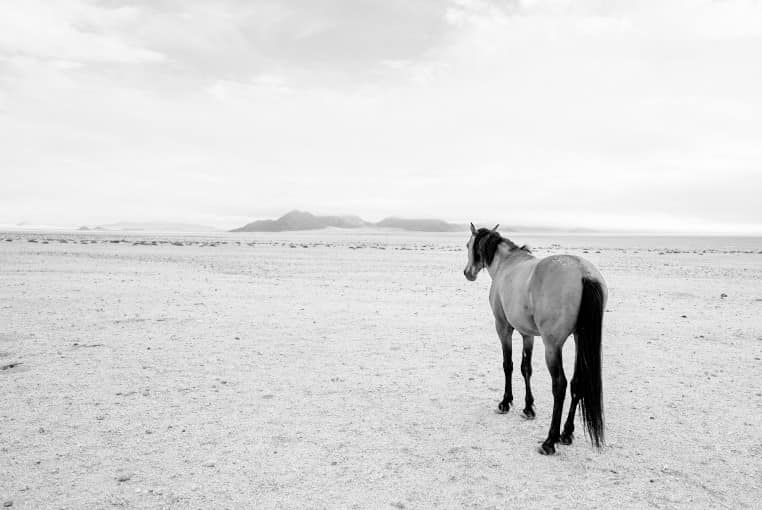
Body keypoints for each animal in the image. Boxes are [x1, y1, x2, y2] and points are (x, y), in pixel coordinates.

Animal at [464, 223, 604, 454]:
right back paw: (566, 433)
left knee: (560, 385)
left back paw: (550, 440)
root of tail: (584, 273)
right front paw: (528, 407)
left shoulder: (503, 328)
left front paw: (505, 402)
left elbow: (508, 365)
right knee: (577, 382)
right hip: (578, 339)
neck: (506, 264)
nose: (468, 273)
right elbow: (526, 368)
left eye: (468, 245)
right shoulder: (527, 334)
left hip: (552, 346)